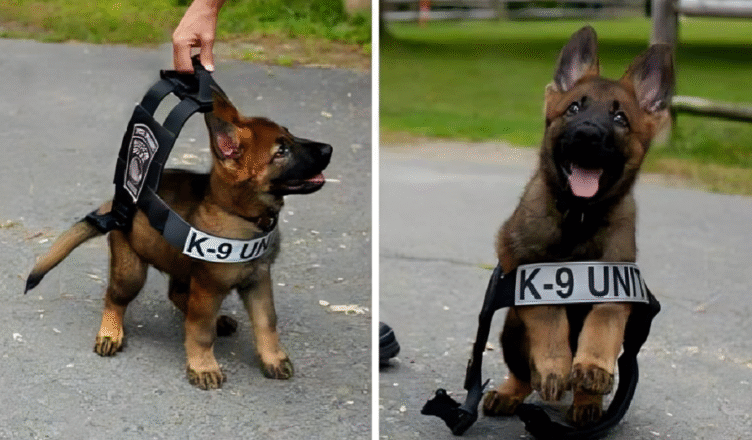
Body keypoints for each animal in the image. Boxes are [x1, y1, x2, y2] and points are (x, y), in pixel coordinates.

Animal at [25, 90, 332, 390]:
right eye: (282, 152)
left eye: (290, 136)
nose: (329, 149)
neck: (240, 215)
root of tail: (117, 203)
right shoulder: (208, 288)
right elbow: (200, 331)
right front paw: (203, 366)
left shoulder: (258, 280)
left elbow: (266, 322)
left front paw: (273, 358)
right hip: (131, 272)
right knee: (115, 298)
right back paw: (110, 332)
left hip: (181, 267)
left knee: (177, 295)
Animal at [481, 26, 673, 426]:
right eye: (573, 109)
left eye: (620, 119)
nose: (587, 134)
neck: (579, 217)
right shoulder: (529, 273)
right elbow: (550, 320)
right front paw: (555, 367)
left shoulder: (615, 283)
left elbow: (602, 325)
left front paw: (593, 369)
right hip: (511, 329)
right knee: (523, 374)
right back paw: (512, 391)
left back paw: (587, 401)